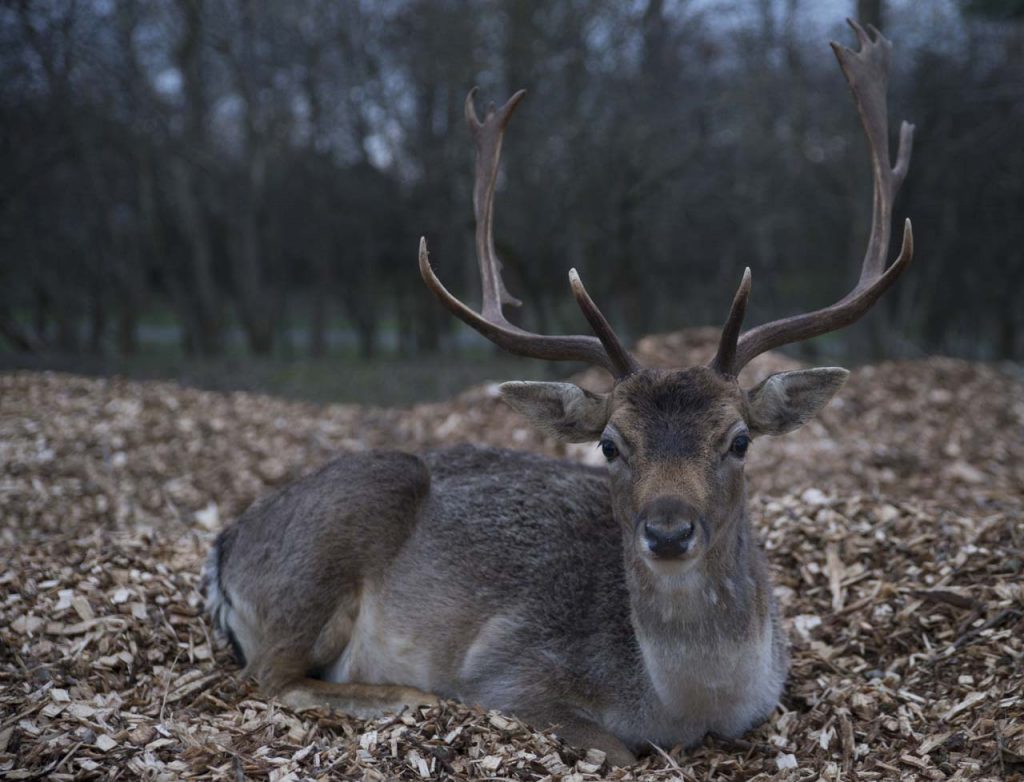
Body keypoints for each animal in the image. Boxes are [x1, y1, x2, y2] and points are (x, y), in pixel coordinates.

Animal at [203, 21, 917, 765]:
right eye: (610, 445)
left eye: (740, 440)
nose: (667, 531)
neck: (691, 707)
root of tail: (225, 545)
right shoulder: (512, 672)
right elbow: (617, 749)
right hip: (324, 555)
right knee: (271, 676)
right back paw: (412, 696)